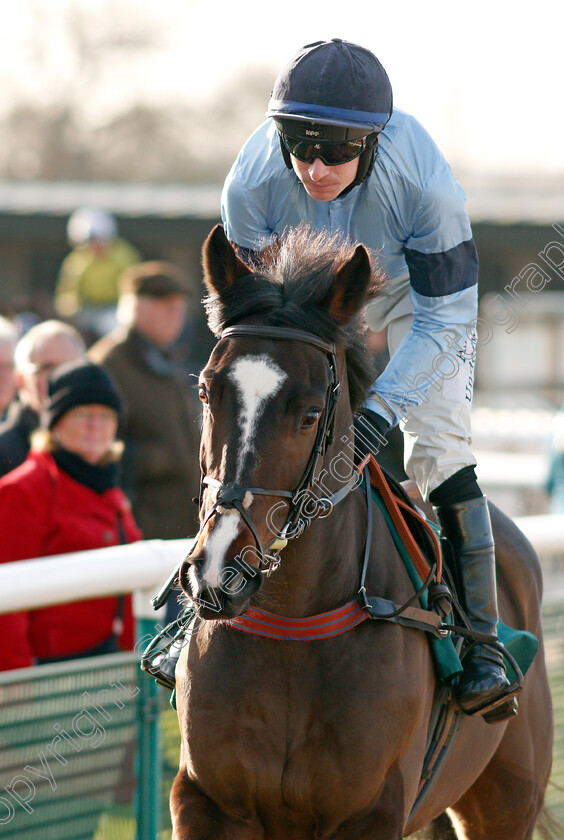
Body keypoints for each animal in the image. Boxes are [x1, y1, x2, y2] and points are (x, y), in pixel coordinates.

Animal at [170, 223, 552, 840]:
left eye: (308, 414)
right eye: (207, 392)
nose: (217, 570)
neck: (292, 630)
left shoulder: (373, 808)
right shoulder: (204, 801)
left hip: (508, 799)